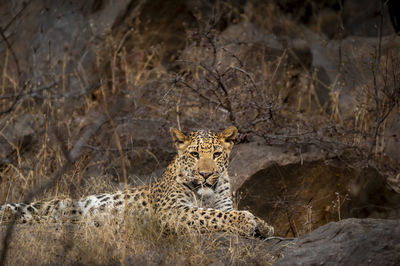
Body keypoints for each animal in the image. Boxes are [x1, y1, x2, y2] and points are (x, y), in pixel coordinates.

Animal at [0, 126, 274, 237]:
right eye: (195, 154)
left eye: (216, 154)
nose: (205, 174)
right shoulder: (171, 211)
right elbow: (212, 215)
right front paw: (246, 220)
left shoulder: (222, 203)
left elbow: (223, 211)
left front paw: (264, 224)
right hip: (44, 207)